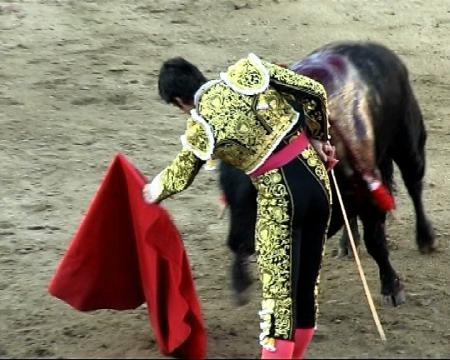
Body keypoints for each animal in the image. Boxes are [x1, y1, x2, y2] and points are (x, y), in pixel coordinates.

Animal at [218, 42, 436, 306]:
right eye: (225, 190)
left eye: (261, 187)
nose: (236, 243)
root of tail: (374, 47)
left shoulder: (368, 193)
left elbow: (376, 242)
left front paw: (392, 288)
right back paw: (348, 243)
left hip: (408, 144)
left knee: (414, 185)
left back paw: (425, 239)